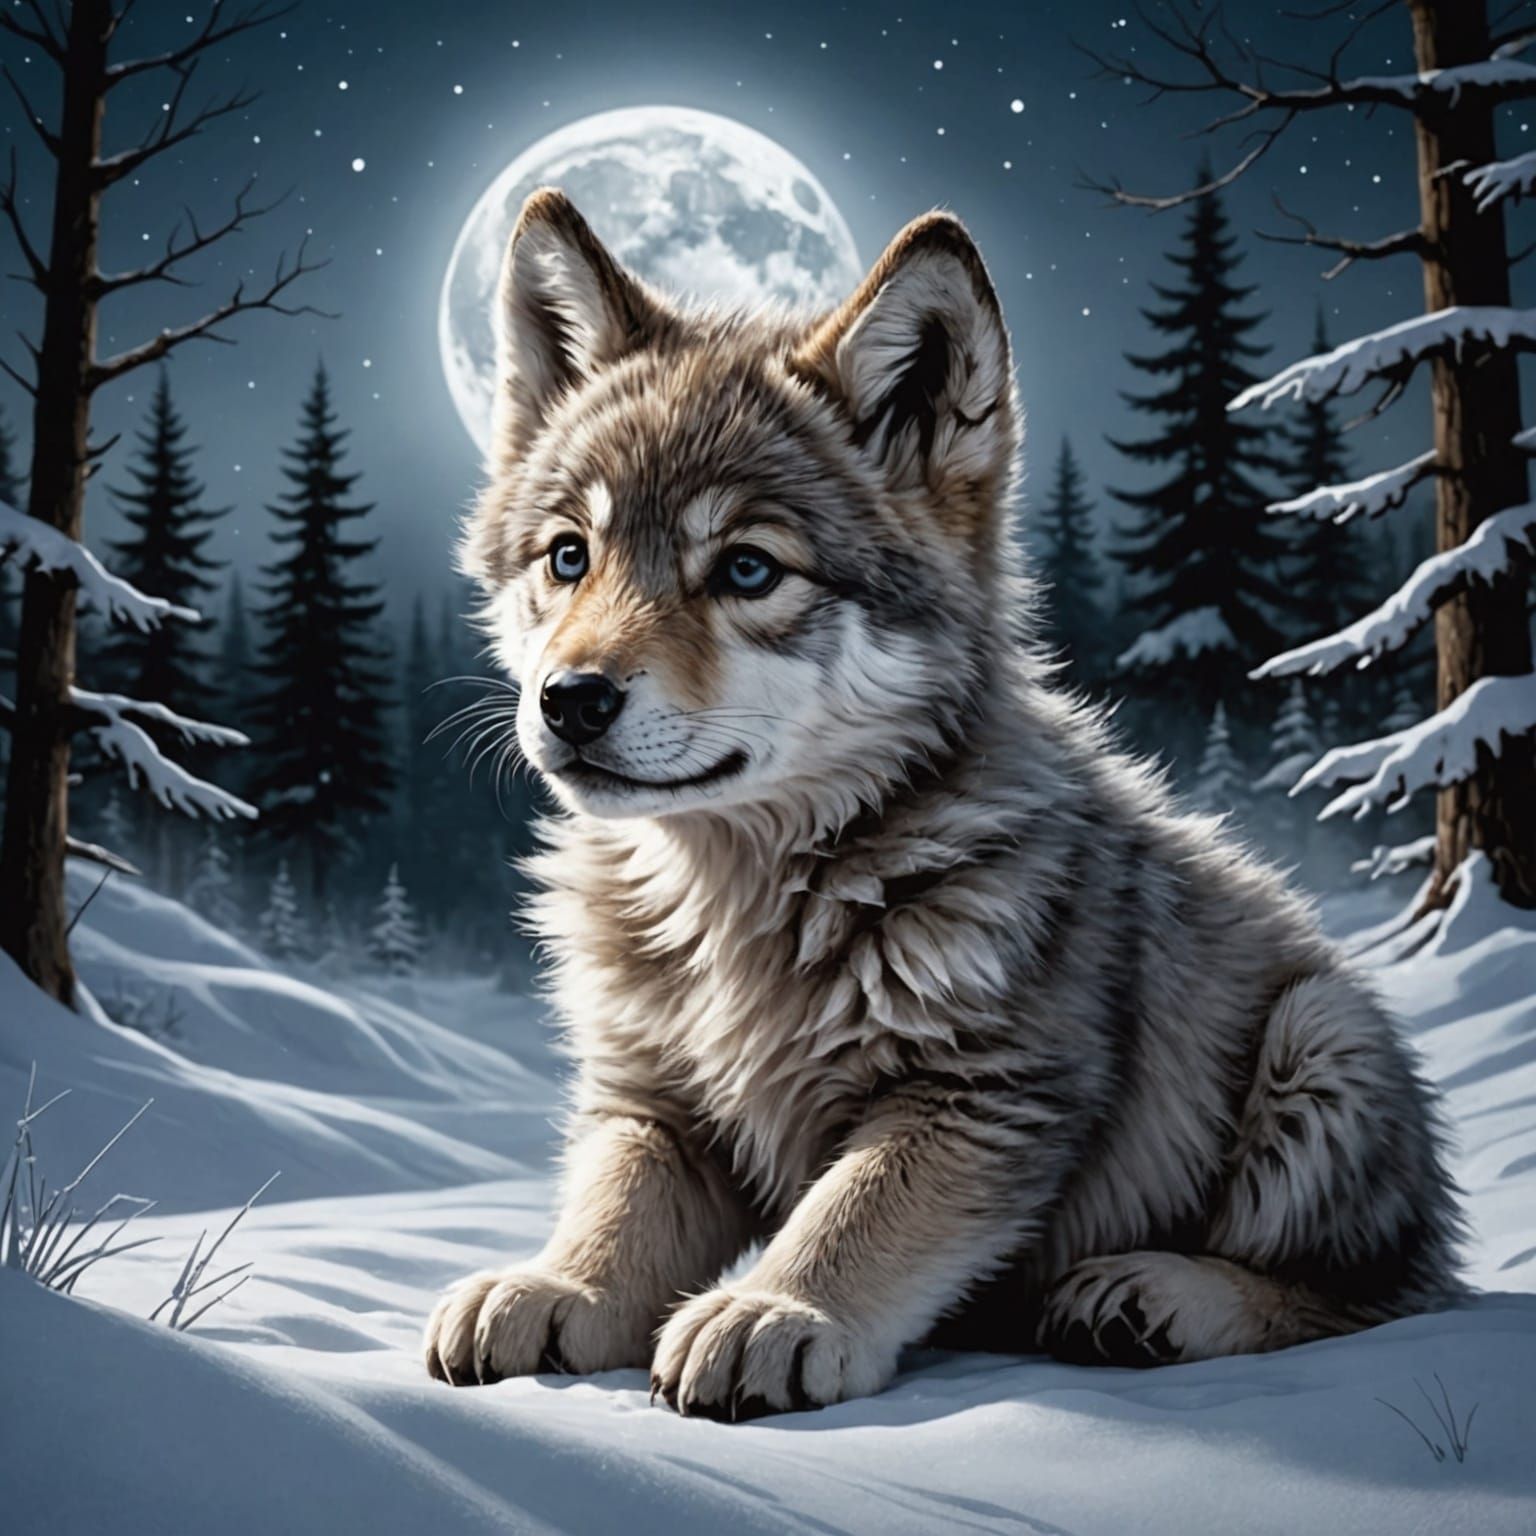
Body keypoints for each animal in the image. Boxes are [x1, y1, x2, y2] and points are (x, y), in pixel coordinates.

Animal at [422, 188, 1464, 1417]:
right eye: (569, 557)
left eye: (748, 570)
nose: (570, 699)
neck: (738, 908)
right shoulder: (655, 1103)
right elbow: (613, 1210)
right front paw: (554, 1288)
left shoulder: (984, 1095)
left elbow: (852, 1213)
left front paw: (771, 1311)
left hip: (1321, 1036)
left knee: (1366, 1300)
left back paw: (1147, 1298)